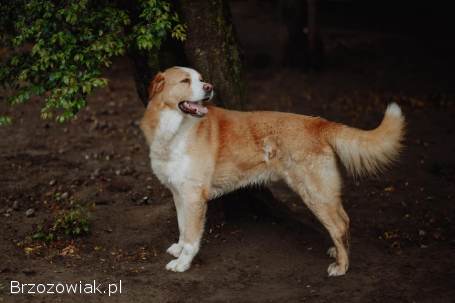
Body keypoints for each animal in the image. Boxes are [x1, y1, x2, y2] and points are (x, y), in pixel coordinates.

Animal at [140, 66, 406, 278]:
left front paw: (182, 262)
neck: (175, 129)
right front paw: (178, 248)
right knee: (344, 218)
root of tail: (318, 123)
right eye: (186, 81)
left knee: (339, 224)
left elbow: (192, 236)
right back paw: (339, 251)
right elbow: (182, 227)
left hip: (313, 191)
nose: (209, 87)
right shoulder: (179, 193)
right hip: (322, 191)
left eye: (201, 79)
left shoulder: (194, 197)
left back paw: (342, 266)